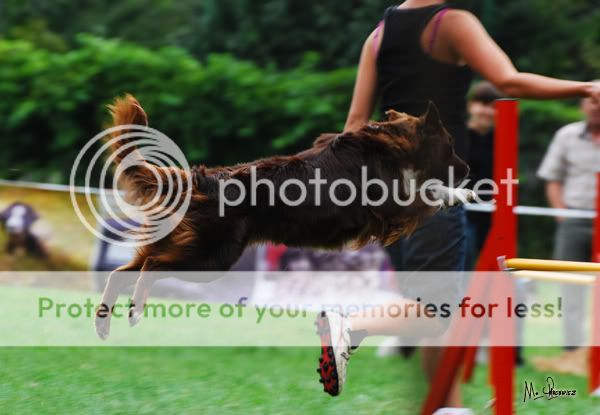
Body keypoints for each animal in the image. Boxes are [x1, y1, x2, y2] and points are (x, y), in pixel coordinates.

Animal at [95, 94, 474, 339]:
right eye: (451, 146)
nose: (469, 169)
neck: (394, 145)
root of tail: (201, 179)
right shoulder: (389, 206)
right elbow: (427, 192)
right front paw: (458, 194)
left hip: (190, 250)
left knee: (121, 272)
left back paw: (103, 324)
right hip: (209, 257)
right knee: (149, 268)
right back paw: (134, 311)